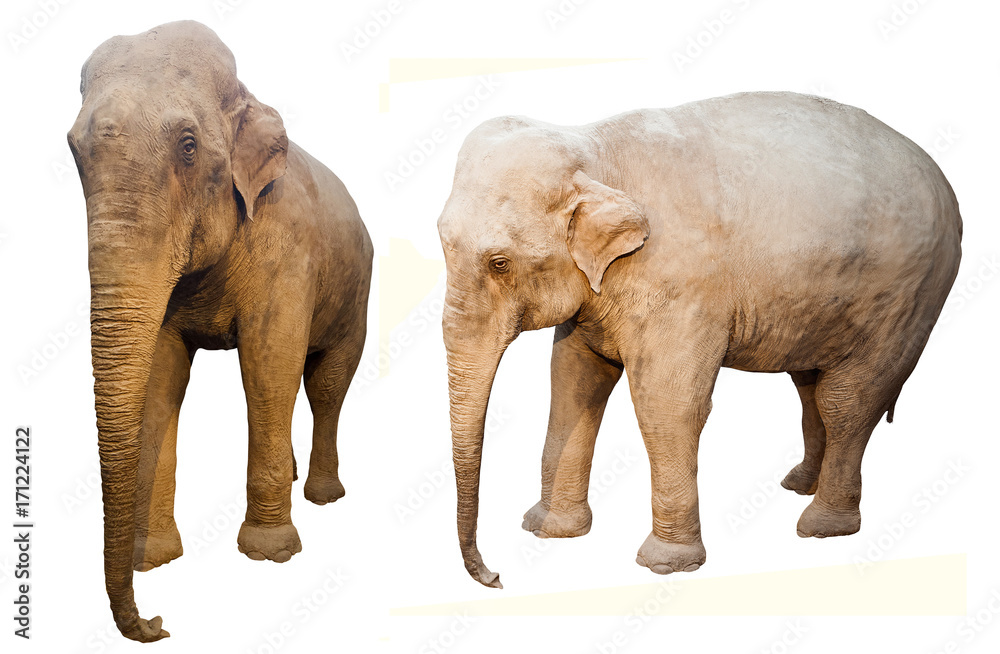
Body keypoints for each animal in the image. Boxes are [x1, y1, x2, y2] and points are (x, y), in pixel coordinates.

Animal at [68, 21, 372, 641]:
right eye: (73, 149)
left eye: (188, 145)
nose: (158, 622)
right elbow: (161, 381)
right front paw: (154, 558)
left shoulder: (288, 251)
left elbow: (268, 366)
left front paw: (270, 552)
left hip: (358, 294)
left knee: (327, 384)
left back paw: (323, 497)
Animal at [437, 92, 962, 589]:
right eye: (442, 242)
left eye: (499, 263)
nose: (496, 577)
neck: (593, 146)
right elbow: (574, 383)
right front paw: (548, 530)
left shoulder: (682, 286)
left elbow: (667, 404)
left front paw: (665, 564)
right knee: (810, 387)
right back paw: (799, 484)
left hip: (907, 296)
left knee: (846, 401)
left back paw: (822, 525)